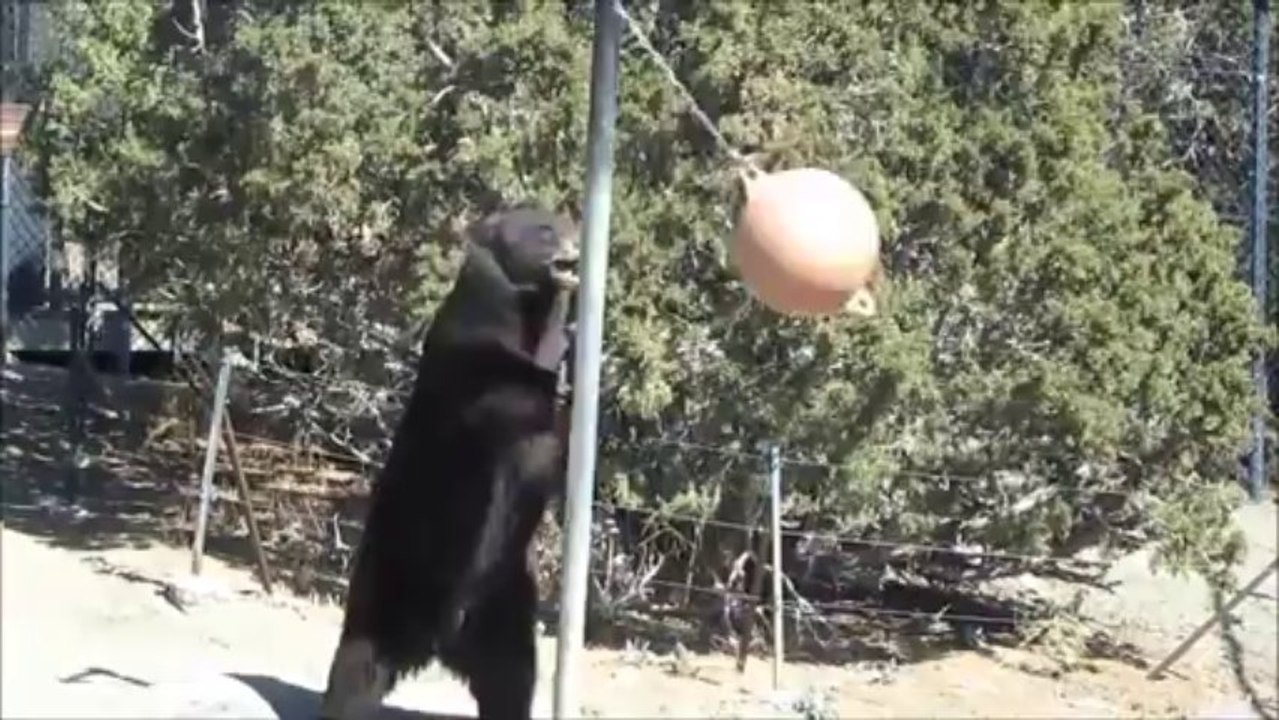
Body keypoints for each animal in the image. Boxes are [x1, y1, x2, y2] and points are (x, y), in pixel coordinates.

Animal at [318, 204, 580, 720]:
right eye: (544, 230)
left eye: (566, 224)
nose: (574, 247)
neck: (524, 313)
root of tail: (442, 638)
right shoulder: (465, 353)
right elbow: (505, 393)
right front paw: (563, 374)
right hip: (392, 577)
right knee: (358, 663)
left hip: (505, 595)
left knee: (511, 674)